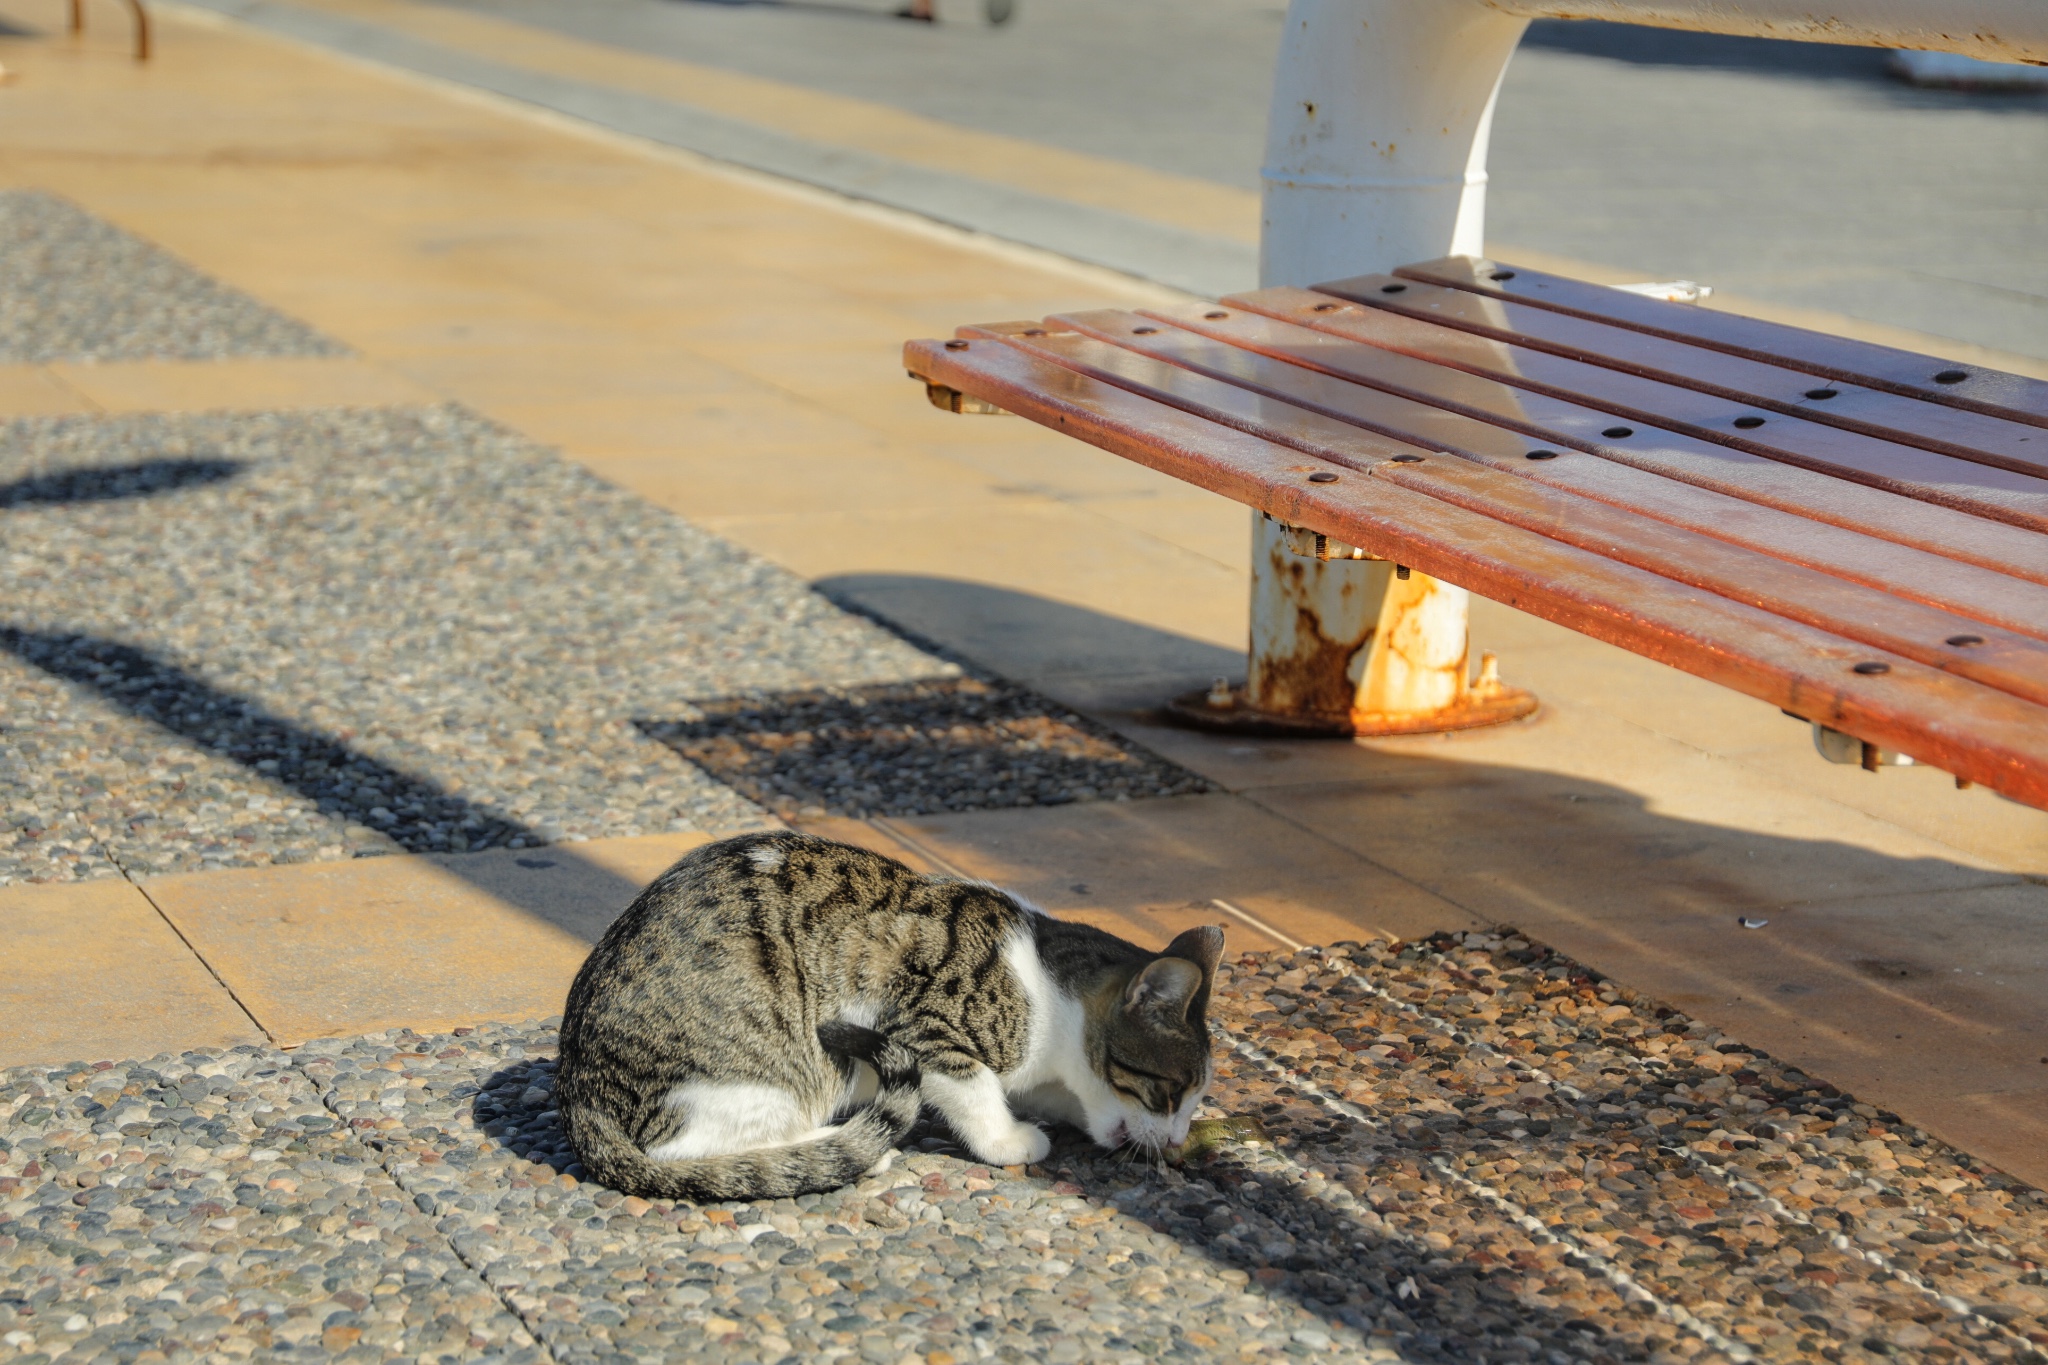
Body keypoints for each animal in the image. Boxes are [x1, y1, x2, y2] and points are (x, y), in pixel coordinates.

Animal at [557, 826, 1212, 1203]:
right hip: (776, 1070)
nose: (1179, 1144)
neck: (1045, 991)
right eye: (1170, 1094)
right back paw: (850, 1147)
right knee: (684, 1149)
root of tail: (579, 1097)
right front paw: (1006, 1140)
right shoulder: (919, 1021)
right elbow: (974, 1087)